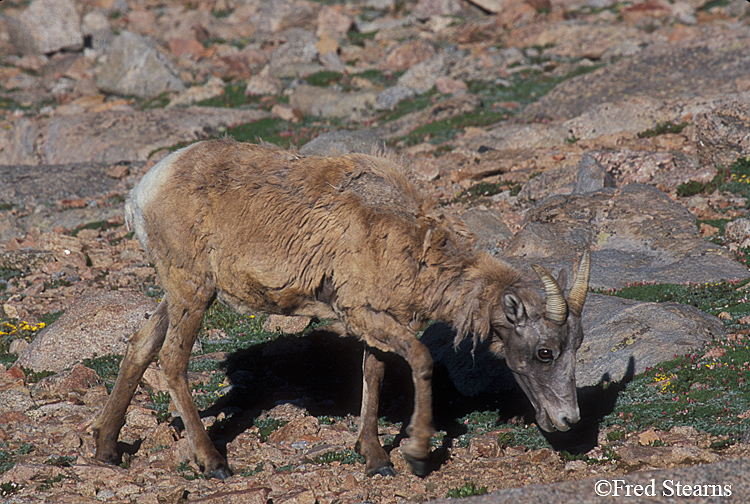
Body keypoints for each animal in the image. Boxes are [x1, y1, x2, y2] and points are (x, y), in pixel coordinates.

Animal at [91, 138, 592, 476]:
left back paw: (106, 450)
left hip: (181, 292)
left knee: (141, 345)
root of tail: (141, 195)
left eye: (576, 346)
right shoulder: (363, 313)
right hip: (192, 290)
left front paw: (374, 458)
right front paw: (414, 454)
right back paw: (212, 462)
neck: (413, 240)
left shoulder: (378, 318)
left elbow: (374, 372)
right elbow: (419, 359)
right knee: (172, 359)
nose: (568, 420)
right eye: (545, 352)